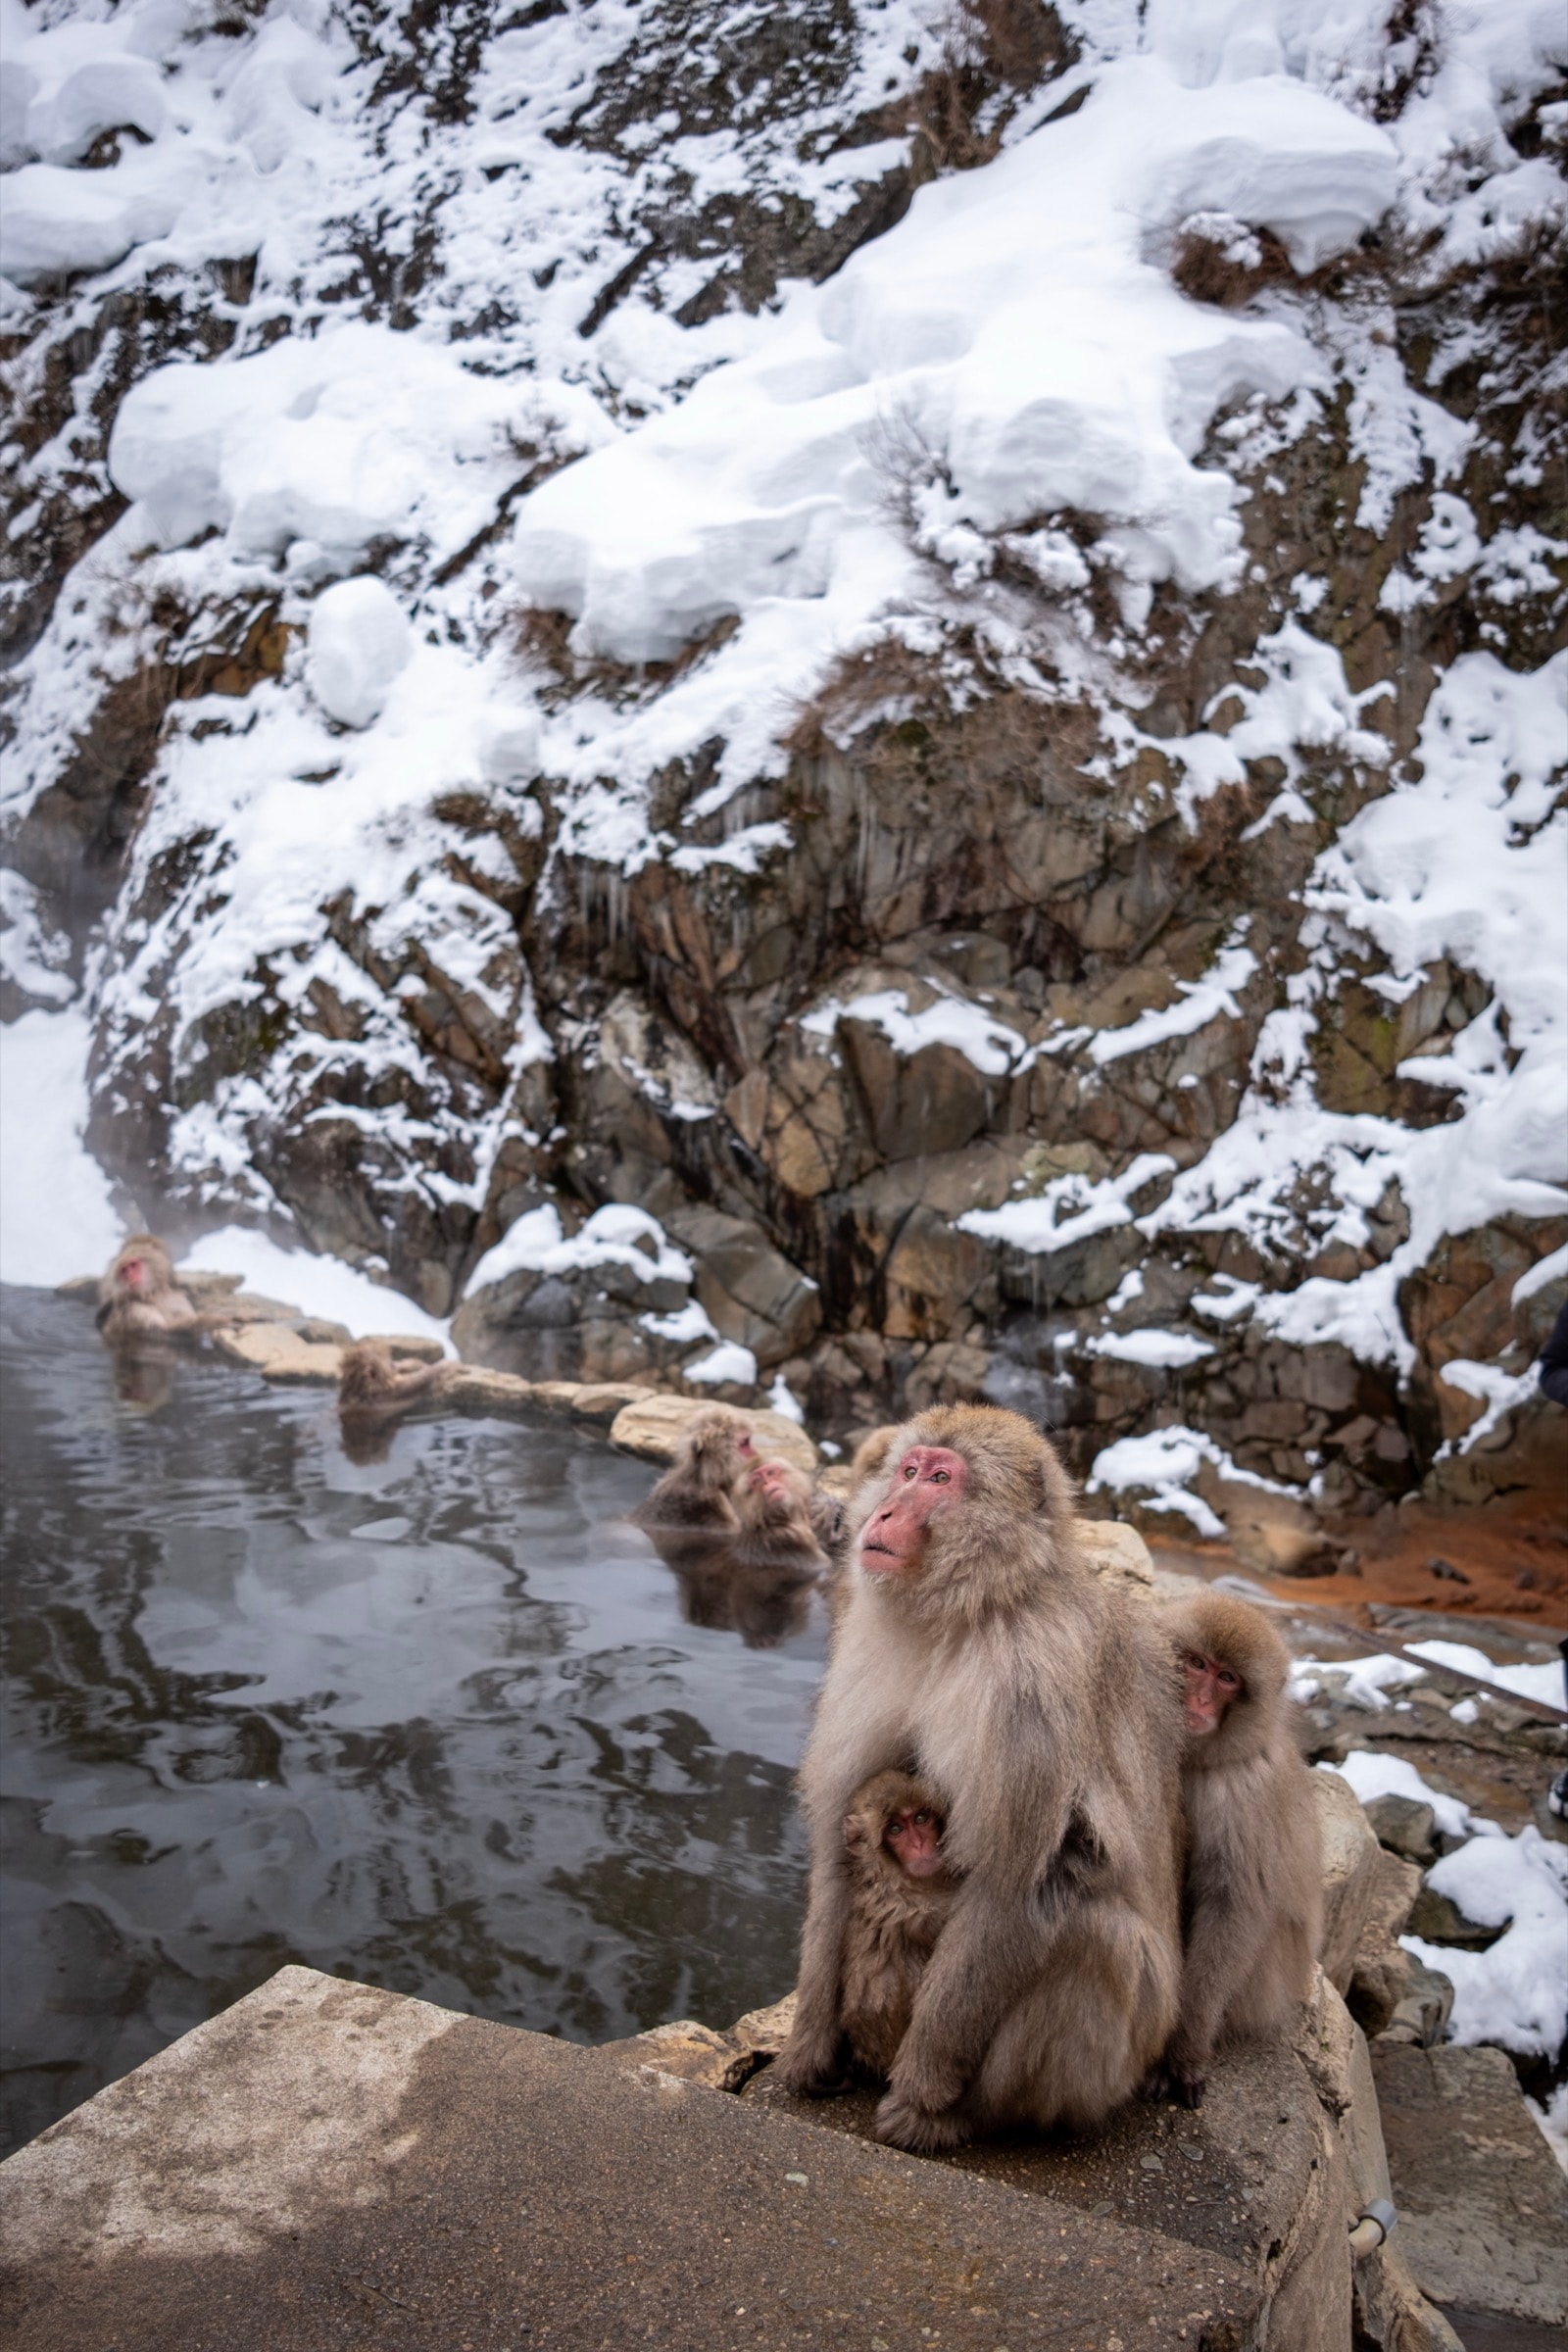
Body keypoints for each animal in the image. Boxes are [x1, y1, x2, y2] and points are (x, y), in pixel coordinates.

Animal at [1143, 1590, 1324, 2109]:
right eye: (1197, 1663)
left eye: (1227, 1679)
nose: (1199, 1699)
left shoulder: (1243, 1796)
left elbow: (1232, 1907)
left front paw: (1183, 2050)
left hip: (1263, 1989)